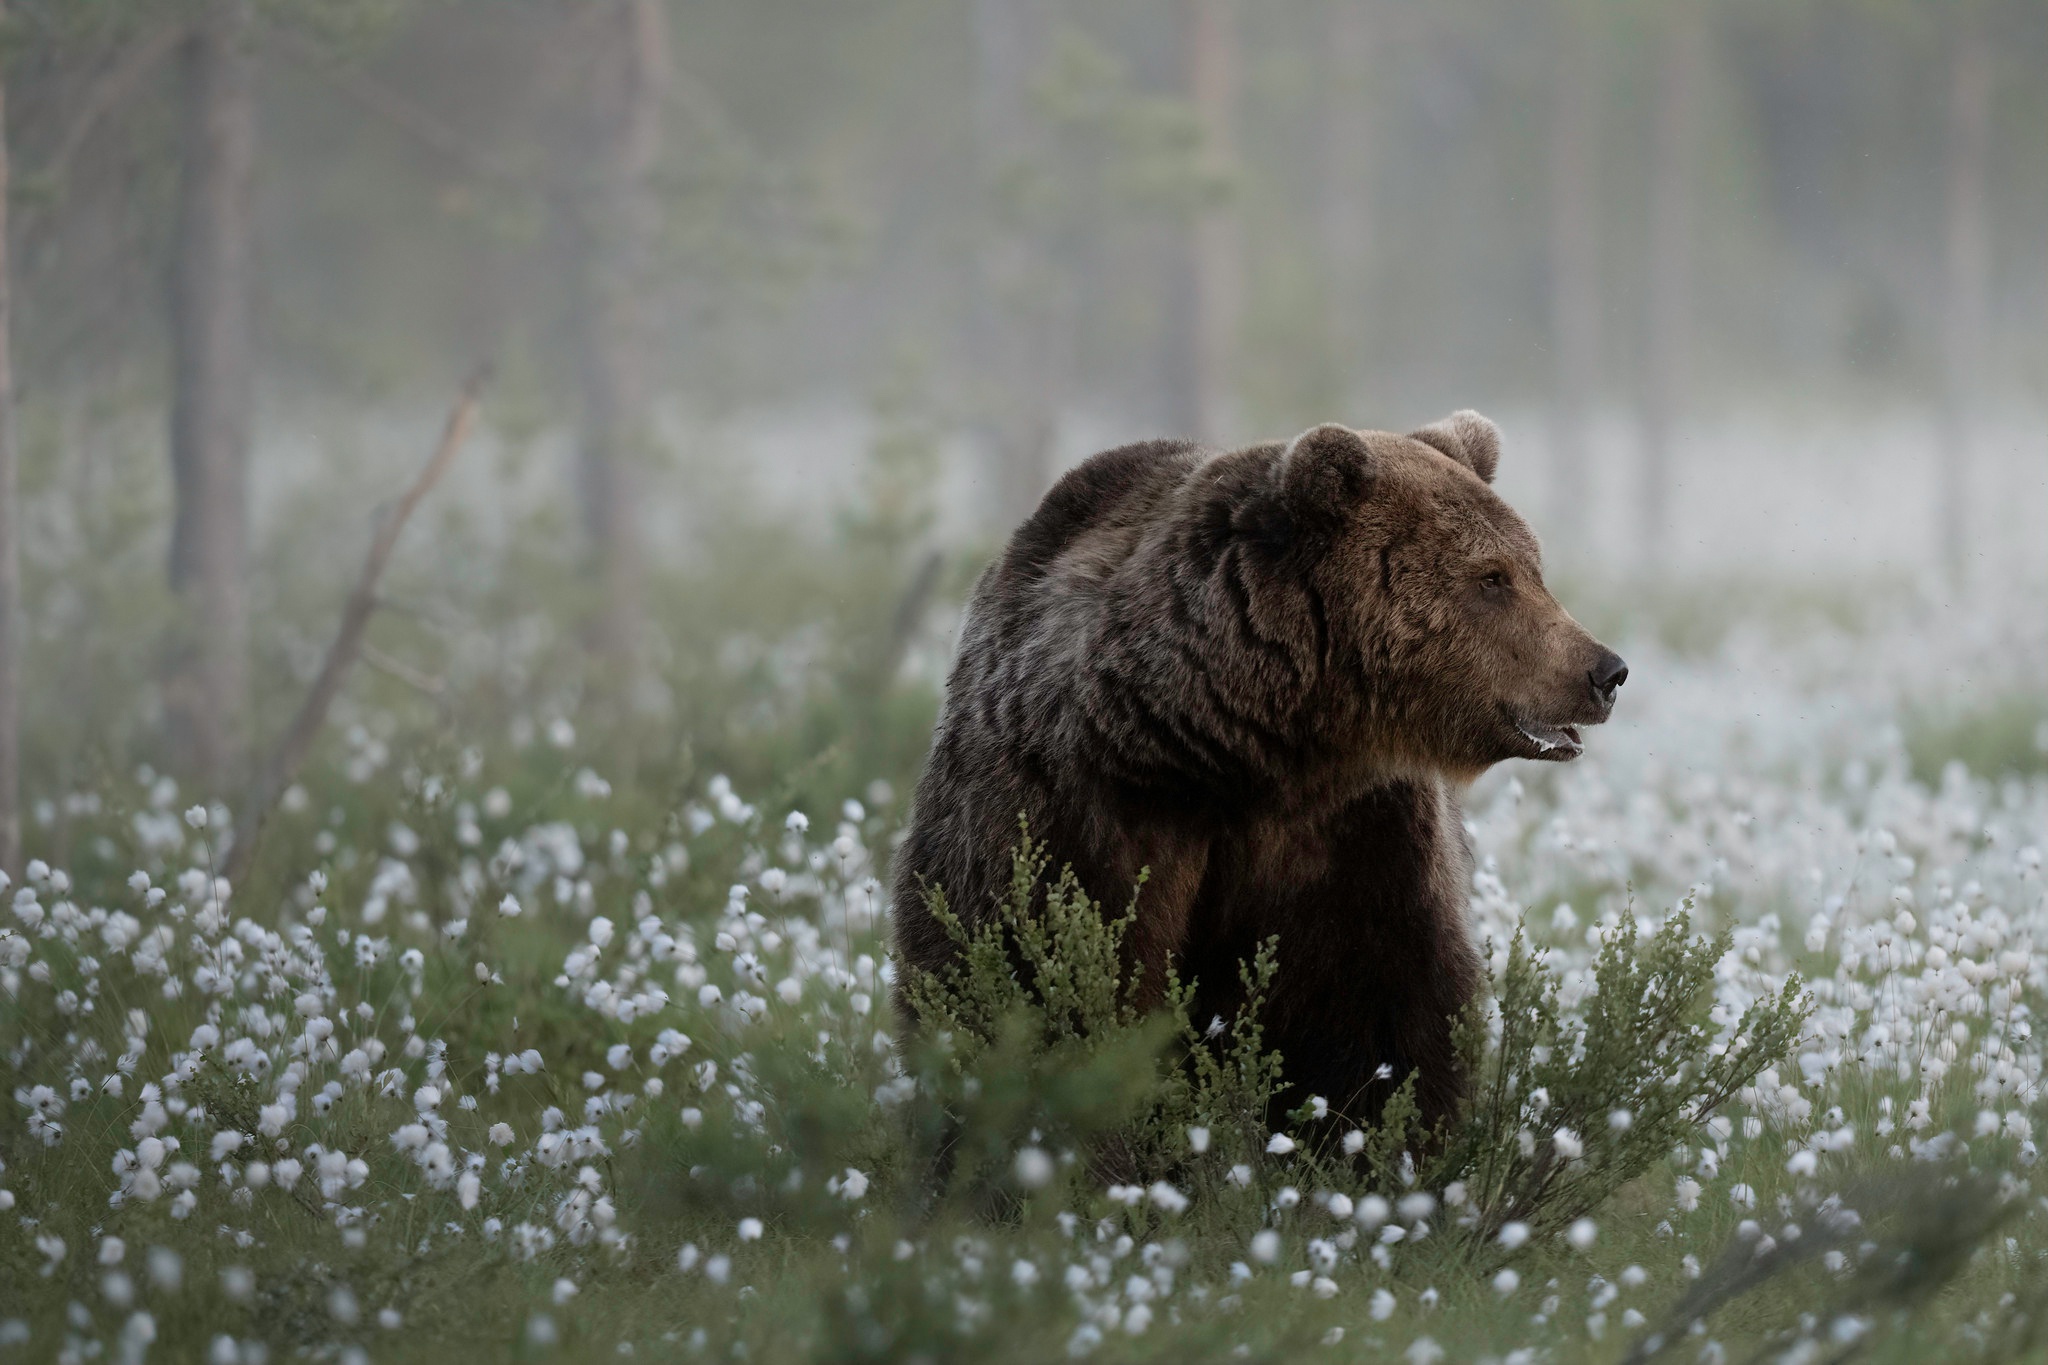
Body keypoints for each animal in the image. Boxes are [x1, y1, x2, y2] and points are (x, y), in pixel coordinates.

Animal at [888, 413, 1622, 1129]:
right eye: (1492, 577)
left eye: (1533, 565)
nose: (1605, 670)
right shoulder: (1085, 811)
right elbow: (1048, 977)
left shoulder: (1356, 833)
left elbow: (1378, 1009)